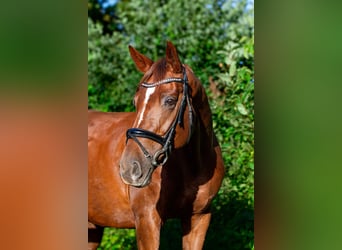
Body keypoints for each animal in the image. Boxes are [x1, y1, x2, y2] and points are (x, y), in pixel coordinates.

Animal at [87, 42, 224, 249]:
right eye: (135, 102)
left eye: (170, 100)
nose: (129, 168)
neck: (192, 167)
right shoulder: (147, 220)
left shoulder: (199, 217)